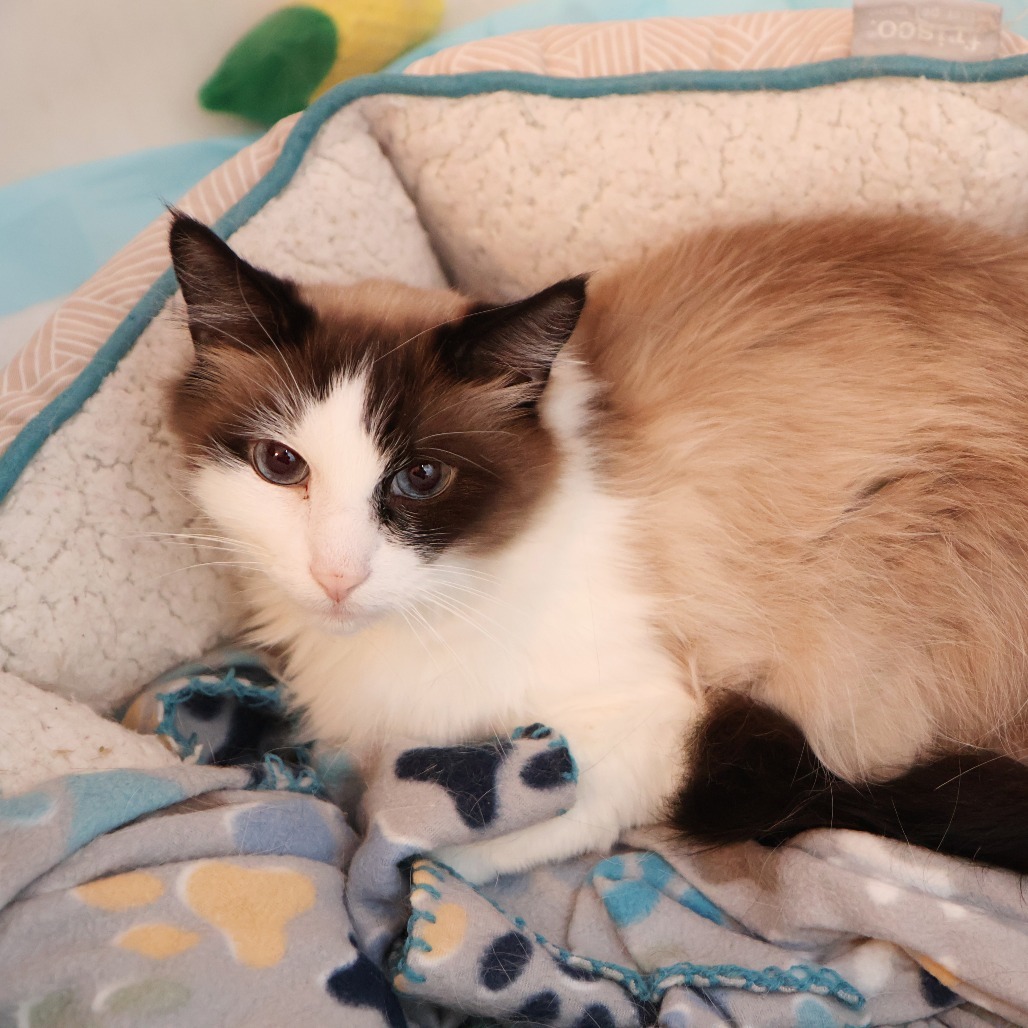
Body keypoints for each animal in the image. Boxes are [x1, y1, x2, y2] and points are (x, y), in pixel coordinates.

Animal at [170, 210, 1028, 884]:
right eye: (281, 466)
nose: (336, 575)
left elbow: (422, 844)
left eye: (421, 478)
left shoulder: (649, 733)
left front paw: (391, 858)